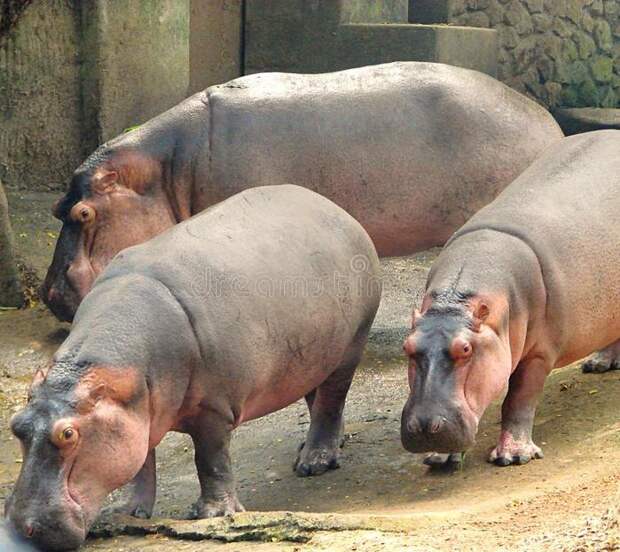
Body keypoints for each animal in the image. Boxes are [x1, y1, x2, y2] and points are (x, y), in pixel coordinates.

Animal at [4, 187, 382, 552]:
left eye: (68, 434)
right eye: (15, 425)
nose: (21, 530)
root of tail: (332, 206)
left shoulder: (212, 408)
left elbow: (210, 459)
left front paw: (212, 514)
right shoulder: (137, 414)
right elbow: (141, 465)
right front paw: (126, 511)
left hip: (350, 346)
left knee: (331, 399)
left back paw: (315, 462)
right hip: (311, 354)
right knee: (316, 396)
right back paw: (313, 449)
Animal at [400, 132, 616, 468]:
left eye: (465, 349)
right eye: (407, 346)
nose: (424, 427)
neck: (455, 303)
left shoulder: (539, 353)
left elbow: (519, 399)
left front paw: (513, 456)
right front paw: (441, 457)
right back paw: (598, 364)